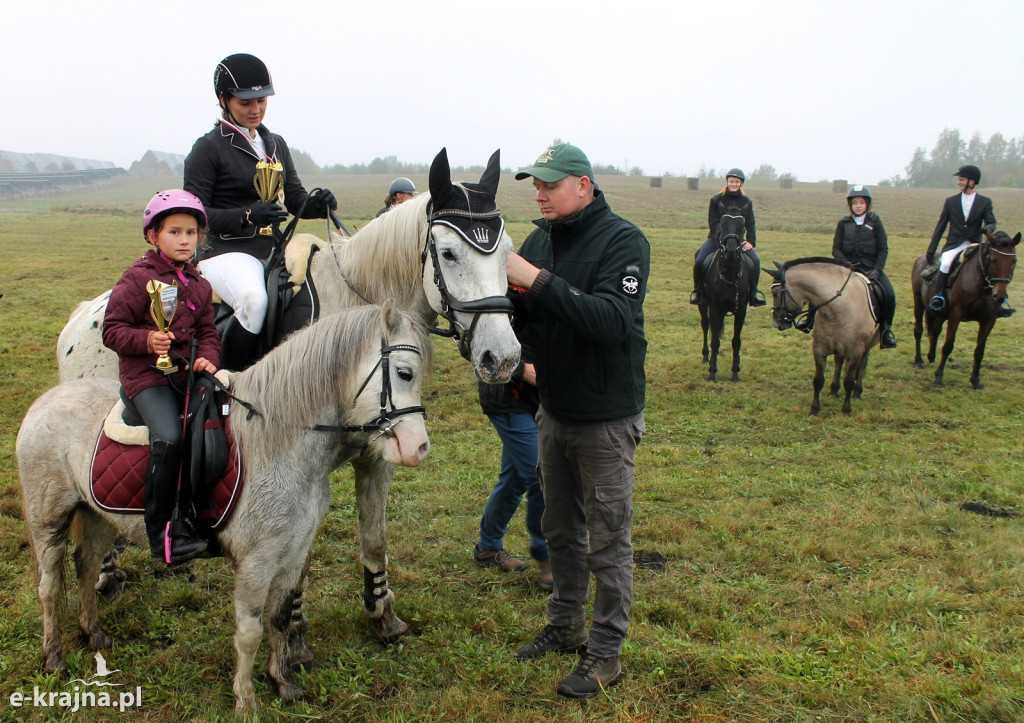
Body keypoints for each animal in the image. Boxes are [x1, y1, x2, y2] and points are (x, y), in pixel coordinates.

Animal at [18, 301, 432, 708]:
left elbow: (280, 618)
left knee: (87, 567)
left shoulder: (293, 552)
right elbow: (249, 631)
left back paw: (94, 634)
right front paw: (246, 699)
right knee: (49, 586)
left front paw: (283, 682)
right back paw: (54, 658)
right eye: (405, 373)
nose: (420, 448)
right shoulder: (256, 562)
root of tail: (45, 400)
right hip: (48, 519)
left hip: (97, 516)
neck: (278, 440)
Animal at [52, 146, 524, 634]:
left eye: (507, 252)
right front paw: (292, 623)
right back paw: (107, 573)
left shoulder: (378, 455)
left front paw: (381, 614)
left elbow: (374, 537)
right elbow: (301, 559)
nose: (503, 357)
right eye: (448, 253)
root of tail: (84, 316)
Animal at [696, 209, 753, 383]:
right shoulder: (714, 308)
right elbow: (715, 341)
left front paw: (735, 373)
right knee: (705, 326)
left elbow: (736, 341)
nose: (731, 251)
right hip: (703, 305)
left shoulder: (741, 310)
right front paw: (712, 373)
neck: (730, 274)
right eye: (722, 225)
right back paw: (706, 357)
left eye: (742, 227)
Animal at [770, 256, 880, 413]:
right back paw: (834, 390)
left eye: (775, 293)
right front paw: (814, 409)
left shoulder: (855, 351)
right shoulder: (819, 348)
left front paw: (846, 410)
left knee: (862, 364)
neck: (838, 308)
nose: (777, 323)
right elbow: (818, 380)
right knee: (838, 362)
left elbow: (849, 381)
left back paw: (857, 392)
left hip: (867, 344)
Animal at [913, 229, 1015, 389]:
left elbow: (979, 351)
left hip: (941, 313)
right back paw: (919, 361)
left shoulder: (989, 320)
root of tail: (921, 259)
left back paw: (931, 356)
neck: (981, 287)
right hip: (919, 302)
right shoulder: (956, 314)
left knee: (935, 331)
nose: (999, 296)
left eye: (1013, 262)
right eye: (993, 260)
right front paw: (938, 379)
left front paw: (975, 381)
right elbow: (948, 346)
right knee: (919, 330)